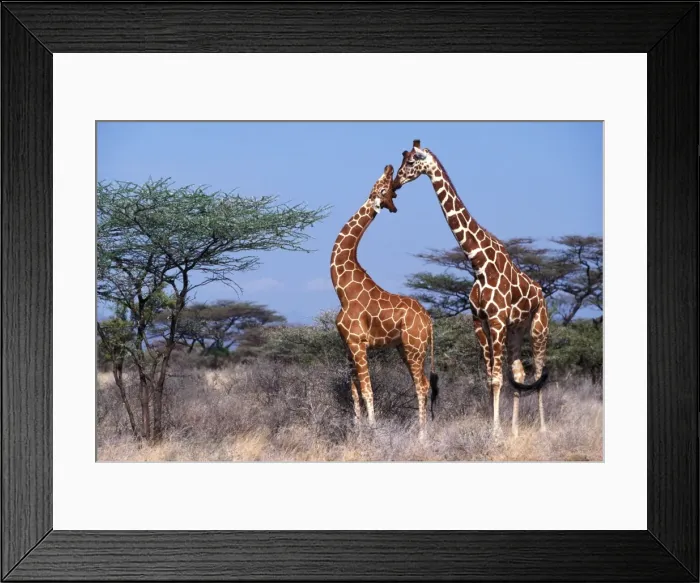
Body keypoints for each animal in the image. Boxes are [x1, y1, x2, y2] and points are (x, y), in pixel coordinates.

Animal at [331, 164, 439, 440]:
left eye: (383, 188)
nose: (389, 167)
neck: (342, 289)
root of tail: (429, 321)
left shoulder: (359, 344)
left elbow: (369, 391)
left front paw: (372, 431)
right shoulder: (347, 345)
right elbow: (355, 393)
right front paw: (357, 431)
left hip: (414, 347)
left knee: (421, 385)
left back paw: (422, 435)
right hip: (405, 348)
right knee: (423, 384)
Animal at [392, 140, 549, 438]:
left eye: (412, 160)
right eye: (401, 160)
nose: (395, 182)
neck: (478, 262)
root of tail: (542, 293)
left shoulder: (496, 320)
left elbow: (497, 378)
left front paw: (496, 431)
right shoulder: (480, 320)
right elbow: (490, 377)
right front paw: (494, 427)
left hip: (539, 328)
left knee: (539, 372)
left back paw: (544, 428)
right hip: (515, 331)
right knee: (520, 373)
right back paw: (515, 430)